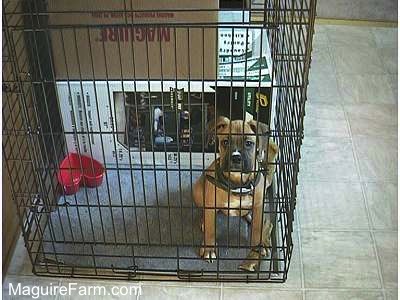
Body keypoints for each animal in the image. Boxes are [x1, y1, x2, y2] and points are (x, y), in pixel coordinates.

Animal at [194, 116, 278, 270]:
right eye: (225, 142)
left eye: (249, 143)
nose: (236, 158)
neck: (238, 184)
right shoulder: (211, 205)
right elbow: (210, 228)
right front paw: (209, 248)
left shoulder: (258, 205)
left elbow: (257, 229)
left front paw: (258, 246)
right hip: (198, 190)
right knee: (204, 212)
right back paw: (203, 220)